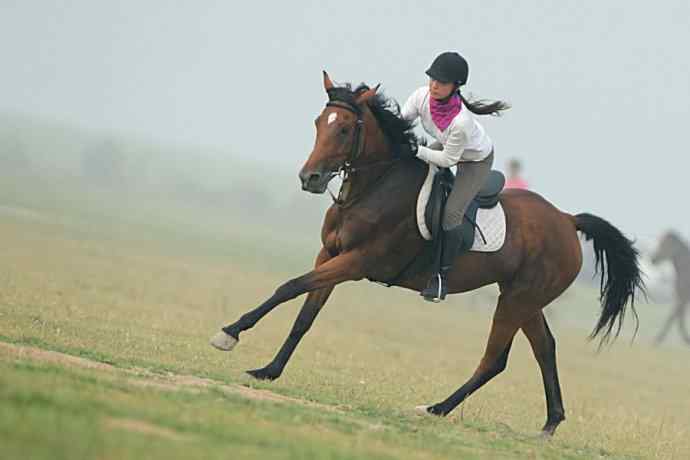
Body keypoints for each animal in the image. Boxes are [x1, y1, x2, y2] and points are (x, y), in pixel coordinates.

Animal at [207, 73, 644, 436]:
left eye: (345, 128)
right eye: (318, 122)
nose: (309, 179)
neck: (374, 187)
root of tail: (568, 220)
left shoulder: (354, 263)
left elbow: (289, 286)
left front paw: (229, 333)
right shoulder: (328, 255)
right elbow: (304, 314)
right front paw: (269, 370)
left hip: (518, 299)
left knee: (495, 359)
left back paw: (436, 408)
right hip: (524, 298)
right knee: (545, 348)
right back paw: (550, 423)